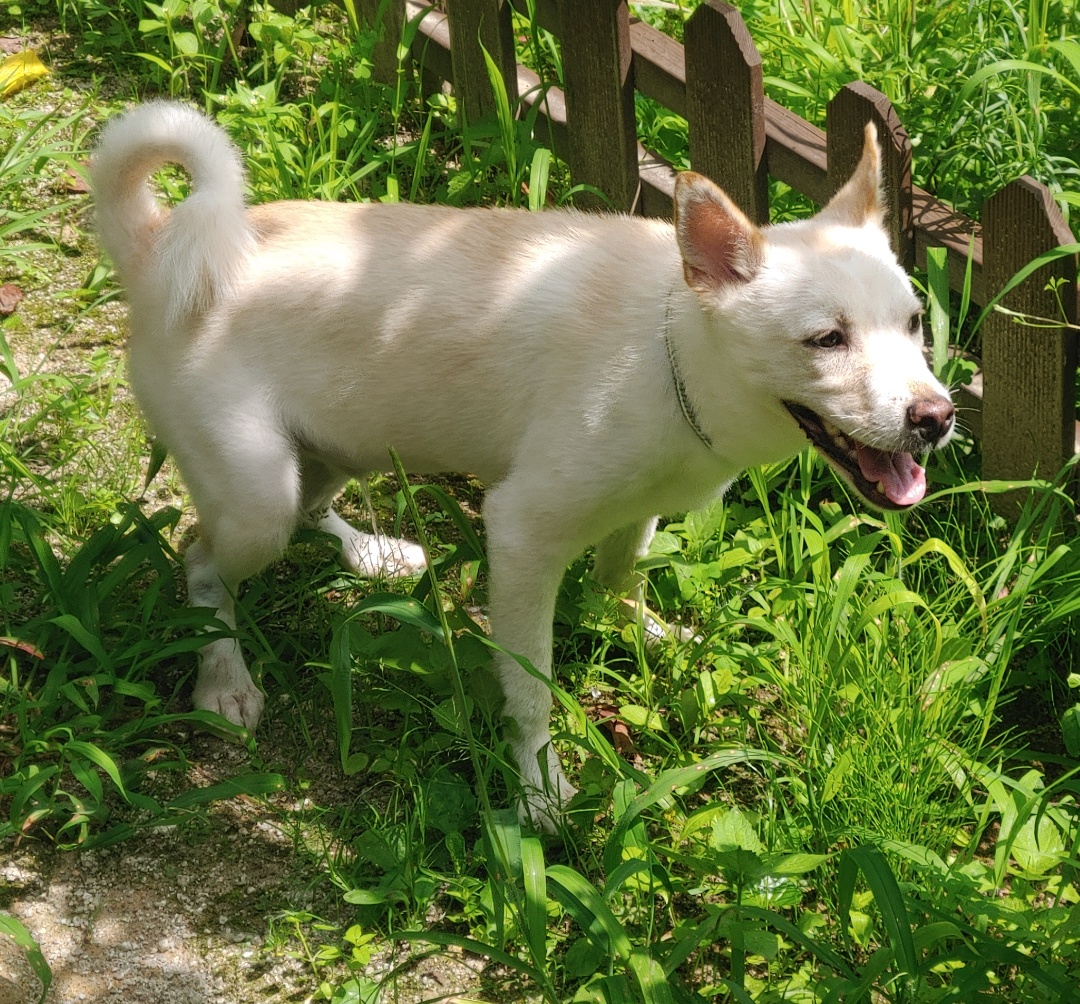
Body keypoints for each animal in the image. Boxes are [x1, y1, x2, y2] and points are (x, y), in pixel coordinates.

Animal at [95, 101, 954, 824]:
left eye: (915, 324)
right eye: (826, 340)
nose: (937, 418)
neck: (670, 346)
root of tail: (156, 248)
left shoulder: (637, 507)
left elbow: (619, 580)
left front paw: (646, 632)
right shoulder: (520, 535)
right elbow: (532, 688)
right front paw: (540, 789)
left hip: (340, 445)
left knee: (311, 508)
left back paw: (371, 555)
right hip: (255, 497)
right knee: (201, 557)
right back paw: (222, 676)